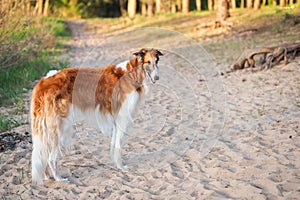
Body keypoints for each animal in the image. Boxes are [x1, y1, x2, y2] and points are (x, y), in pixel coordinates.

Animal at [29, 48, 164, 183]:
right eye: (148, 62)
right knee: (51, 158)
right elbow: (119, 145)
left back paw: (48, 176)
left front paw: (116, 164)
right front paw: (121, 166)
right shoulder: (122, 118)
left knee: (44, 155)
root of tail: (43, 82)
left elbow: (114, 144)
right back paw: (59, 178)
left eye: (156, 61)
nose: (157, 78)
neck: (132, 73)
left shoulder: (116, 121)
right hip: (60, 128)